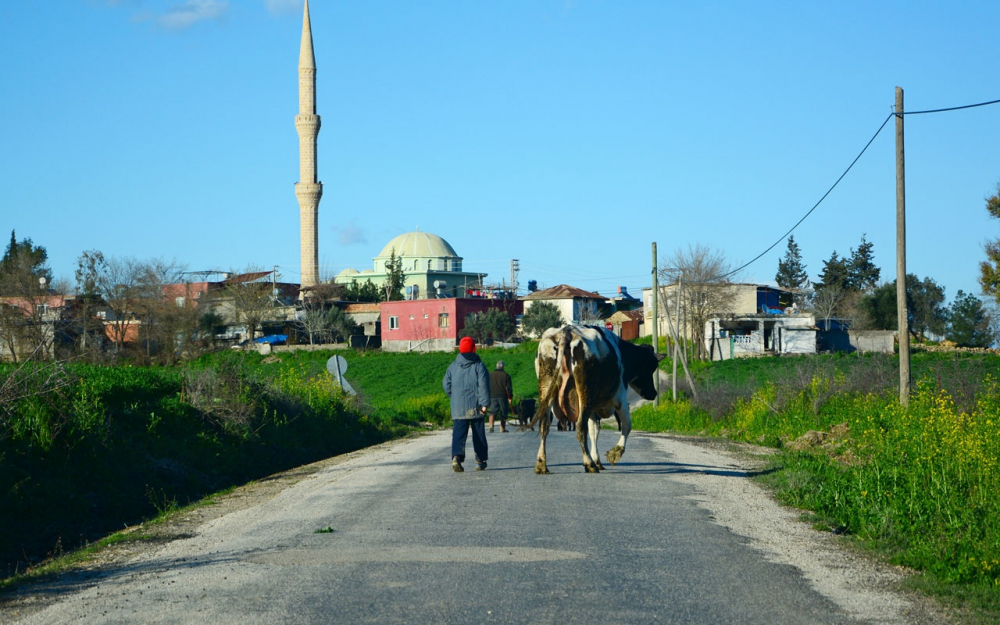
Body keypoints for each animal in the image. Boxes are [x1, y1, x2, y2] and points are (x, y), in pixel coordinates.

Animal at [532, 322, 664, 472]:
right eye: (652, 367)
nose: (653, 393)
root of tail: (567, 331)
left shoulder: (593, 408)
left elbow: (594, 431)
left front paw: (597, 459)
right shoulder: (620, 398)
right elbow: (627, 425)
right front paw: (615, 453)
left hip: (546, 387)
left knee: (544, 425)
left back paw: (541, 464)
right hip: (584, 392)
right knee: (580, 427)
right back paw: (588, 463)